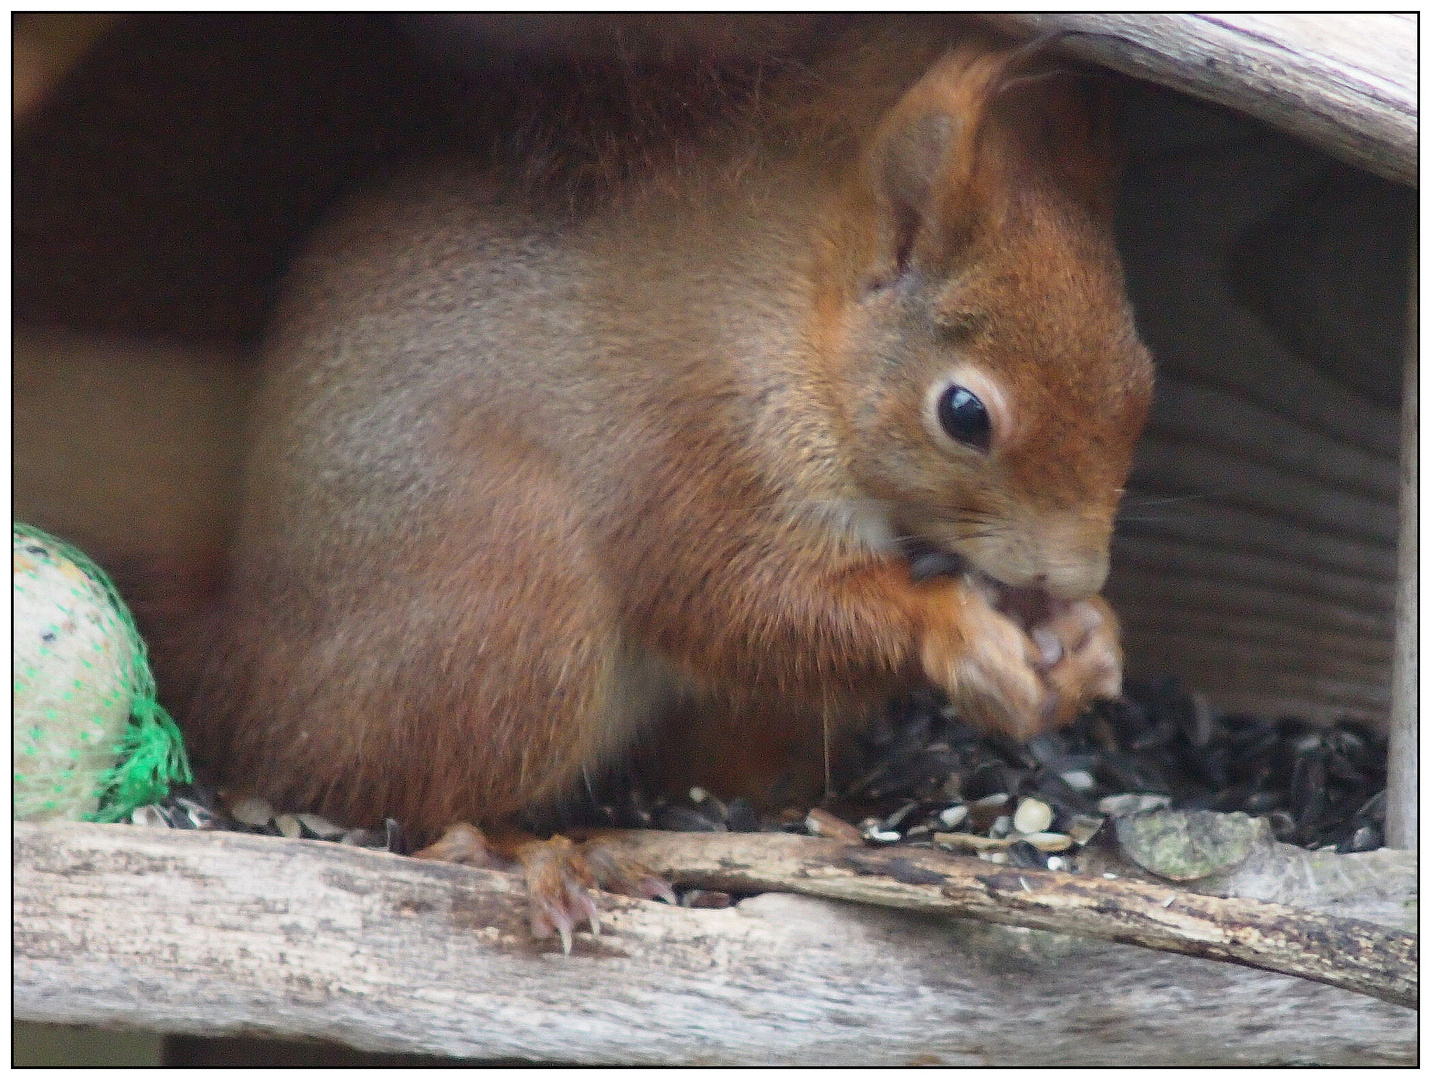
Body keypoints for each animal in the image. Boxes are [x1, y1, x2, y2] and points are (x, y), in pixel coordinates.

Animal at [187, 23, 1150, 944]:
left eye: (1144, 381)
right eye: (964, 414)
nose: (1076, 574)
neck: (798, 344)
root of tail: (249, 689)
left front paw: (1087, 638)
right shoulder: (695, 444)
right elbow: (732, 596)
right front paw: (959, 631)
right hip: (507, 607)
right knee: (401, 796)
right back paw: (530, 855)